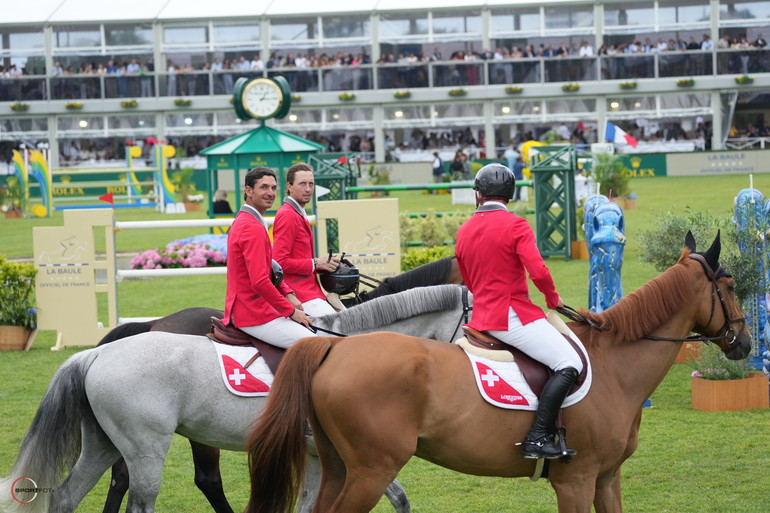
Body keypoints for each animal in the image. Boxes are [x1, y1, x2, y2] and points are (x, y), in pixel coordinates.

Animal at [246, 233, 752, 512]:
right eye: (728, 286)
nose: (744, 342)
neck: (615, 367)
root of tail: (333, 346)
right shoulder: (576, 481)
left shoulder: (607, 479)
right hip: (371, 471)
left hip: (336, 467)